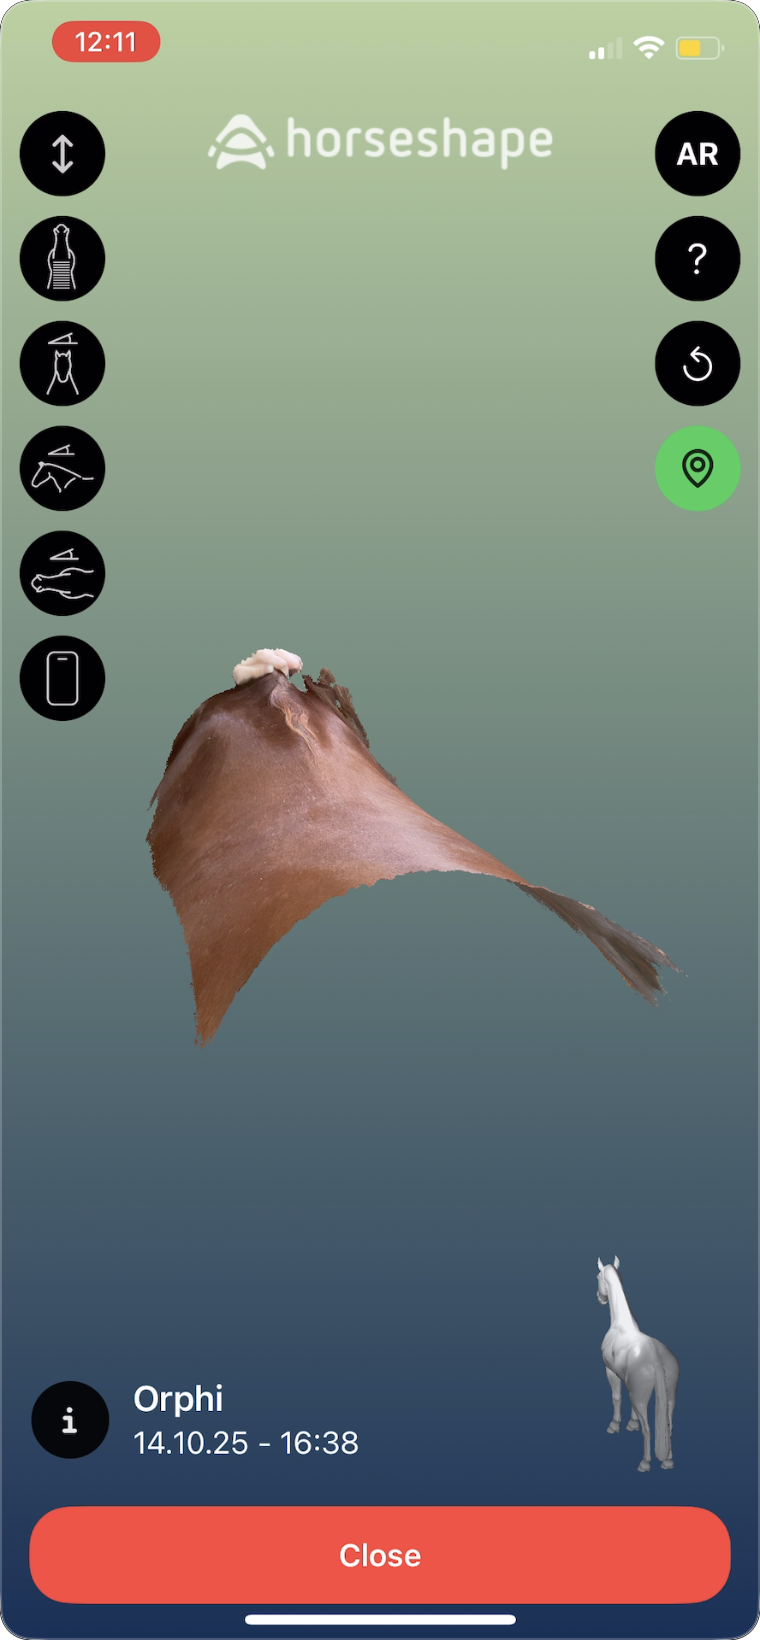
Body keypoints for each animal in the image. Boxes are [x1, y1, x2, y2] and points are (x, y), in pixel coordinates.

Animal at [597, 1257, 679, 1472]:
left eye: (598, 1276)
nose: (600, 1298)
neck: (621, 1325)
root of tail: (657, 1359)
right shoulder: (628, 1382)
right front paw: (631, 1424)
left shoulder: (611, 1372)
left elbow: (616, 1398)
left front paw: (615, 1425)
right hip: (670, 1397)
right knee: (669, 1426)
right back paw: (668, 1461)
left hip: (641, 1399)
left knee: (648, 1429)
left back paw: (645, 1463)